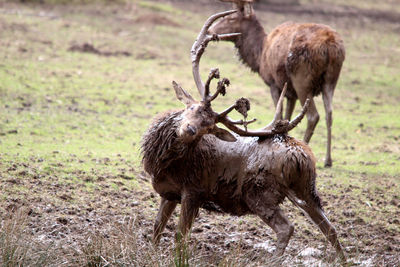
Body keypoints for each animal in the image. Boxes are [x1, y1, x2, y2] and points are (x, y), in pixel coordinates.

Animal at [208, 0, 346, 168]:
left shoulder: (274, 84)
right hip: (331, 80)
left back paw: (307, 148)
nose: (210, 30)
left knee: (313, 116)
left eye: (231, 18)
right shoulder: (291, 93)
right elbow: (287, 117)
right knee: (329, 114)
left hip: (302, 79)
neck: (259, 56)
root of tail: (330, 46)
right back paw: (328, 160)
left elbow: (279, 115)